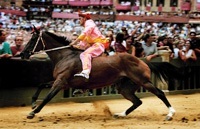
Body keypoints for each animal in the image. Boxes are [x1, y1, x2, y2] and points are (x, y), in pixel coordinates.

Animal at [21, 28, 182, 121]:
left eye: (33, 39)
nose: (23, 54)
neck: (65, 56)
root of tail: (143, 62)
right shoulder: (61, 81)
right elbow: (41, 84)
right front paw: (33, 102)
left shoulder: (61, 82)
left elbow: (48, 97)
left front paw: (33, 112)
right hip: (125, 87)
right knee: (137, 102)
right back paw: (120, 114)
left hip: (143, 81)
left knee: (160, 93)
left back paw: (170, 114)